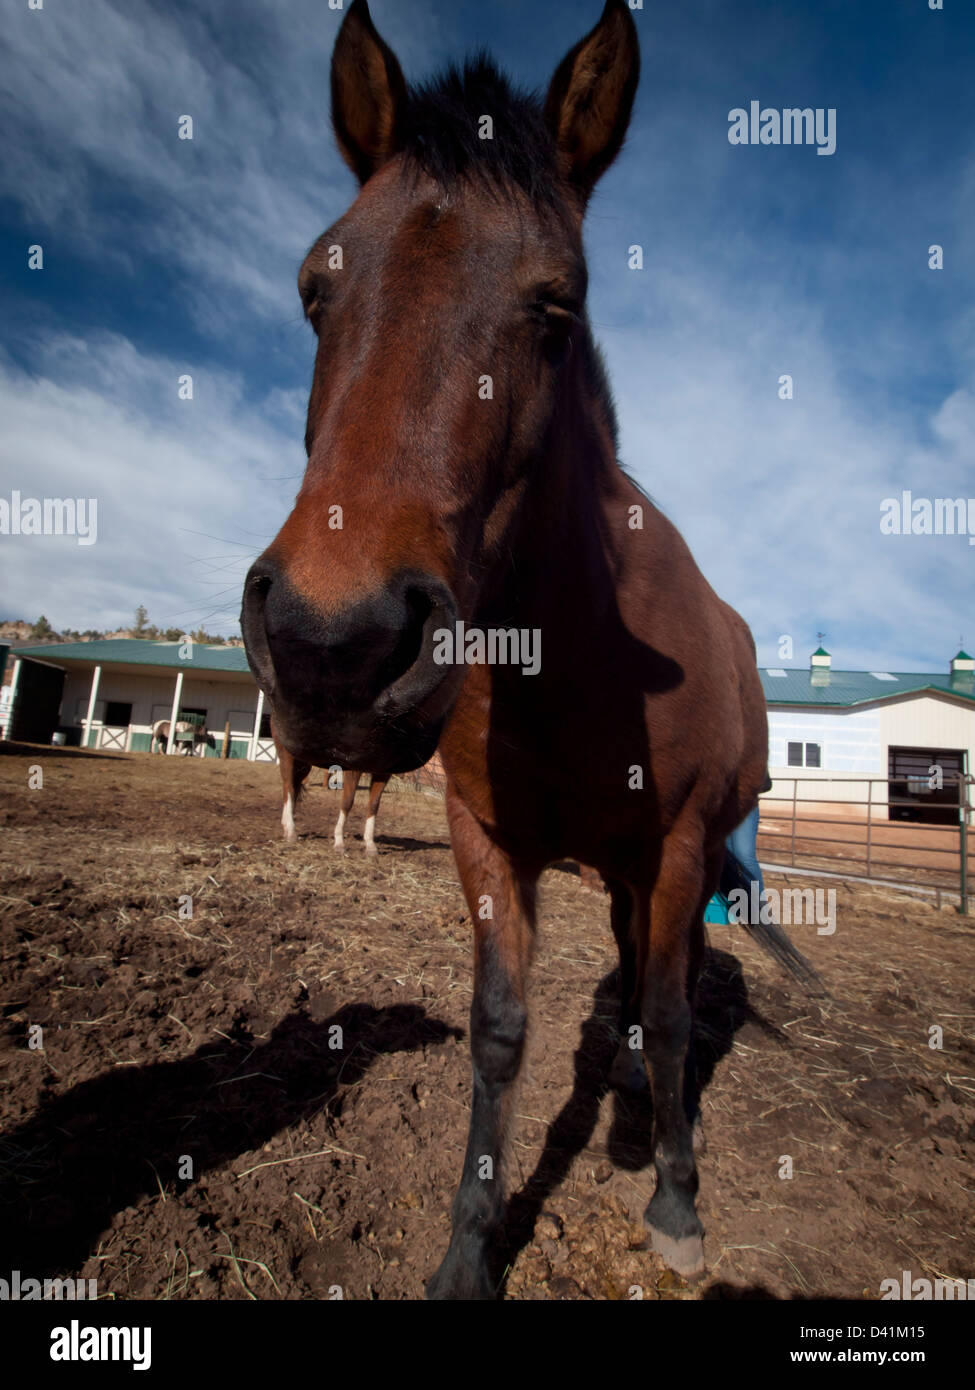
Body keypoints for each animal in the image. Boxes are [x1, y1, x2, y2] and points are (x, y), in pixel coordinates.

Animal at [271, 719, 388, 851]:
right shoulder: (353, 767)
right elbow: (347, 802)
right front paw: (339, 841)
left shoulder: (383, 772)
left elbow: (374, 804)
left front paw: (370, 844)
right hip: (287, 755)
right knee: (289, 787)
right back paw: (291, 831)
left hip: (303, 763)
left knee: (293, 788)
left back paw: (287, 827)